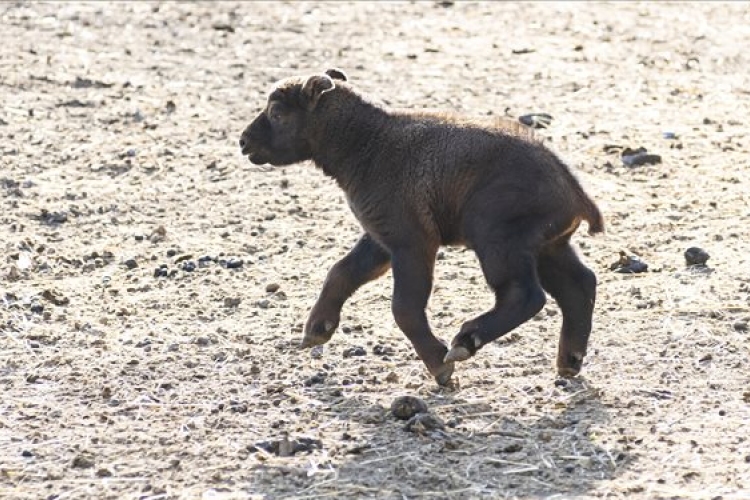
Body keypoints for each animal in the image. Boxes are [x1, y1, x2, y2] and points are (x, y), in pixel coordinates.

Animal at [241, 68, 604, 384]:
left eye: (277, 112)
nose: (244, 142)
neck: (366, 144)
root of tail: (574, 190)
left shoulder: (411, 241)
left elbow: (404, 307)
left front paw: (439, 367)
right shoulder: (381, 237)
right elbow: (341, 272)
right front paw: (317, 330)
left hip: (498, 238)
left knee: (525, 294)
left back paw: (465, 342)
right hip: (546, 245)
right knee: (580, 285)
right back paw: (570, 360)